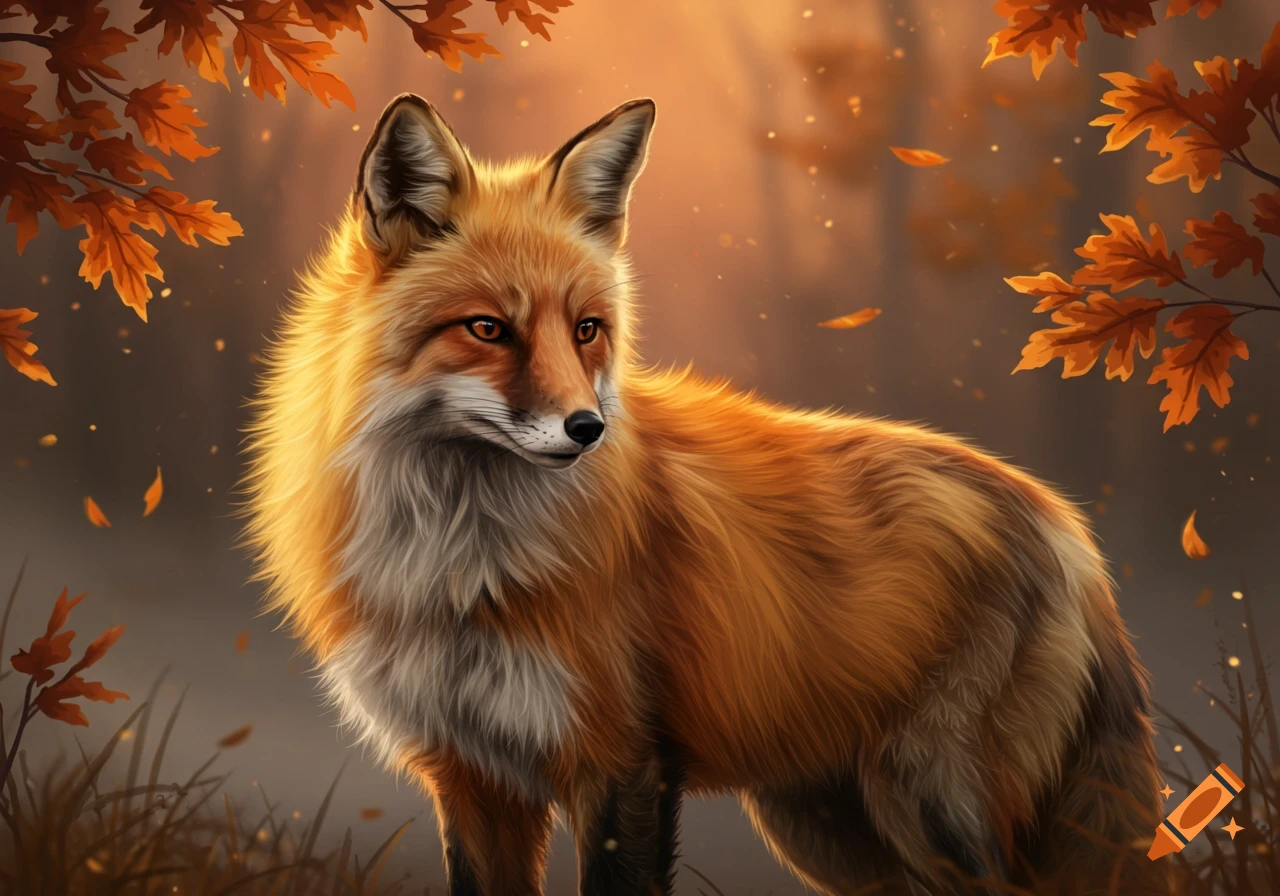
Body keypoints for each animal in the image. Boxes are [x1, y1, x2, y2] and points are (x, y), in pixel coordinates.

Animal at [243, 94, 1166, 896]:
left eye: (587, 330)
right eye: (488, 329)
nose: (588, 429)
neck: (460, 563)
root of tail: (1060, 517)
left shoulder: (621, 762)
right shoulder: (472, 776)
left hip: (933, 805)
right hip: (832, 828)